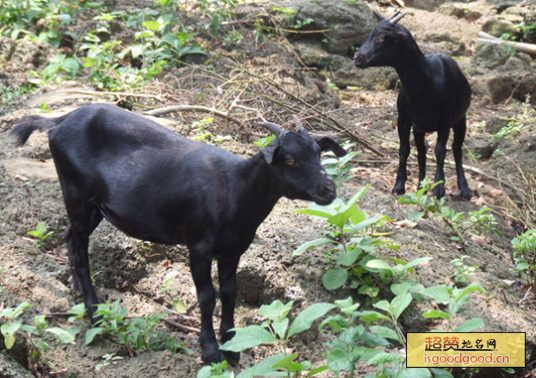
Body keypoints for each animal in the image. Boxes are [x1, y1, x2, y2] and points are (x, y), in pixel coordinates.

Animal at [12, 103, 348, 364]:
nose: (328, 189)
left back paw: (77, 288)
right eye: (289, 159)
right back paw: (94, 312)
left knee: (70, 236)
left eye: (318, 153)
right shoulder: (198, 244)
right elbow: (207, 296)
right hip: (77, 193)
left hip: (92, 205)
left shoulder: (233, 249)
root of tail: (58, 121)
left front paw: (232, 346)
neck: (235, 190)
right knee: (81, 247)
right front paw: (211, 350)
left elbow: (230, 292)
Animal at [354, 10, 472, 199]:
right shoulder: (404, 119)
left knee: (456, 149)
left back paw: (465, 189)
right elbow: (404, 150)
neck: (426, 86)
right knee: (422, 152)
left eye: (383, 37)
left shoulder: (445, 121)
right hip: (419, 128)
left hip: (461, 120)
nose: (357, 58)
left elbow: (440, 150)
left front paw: (439, 188)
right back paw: (421, 186)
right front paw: (399, 186)